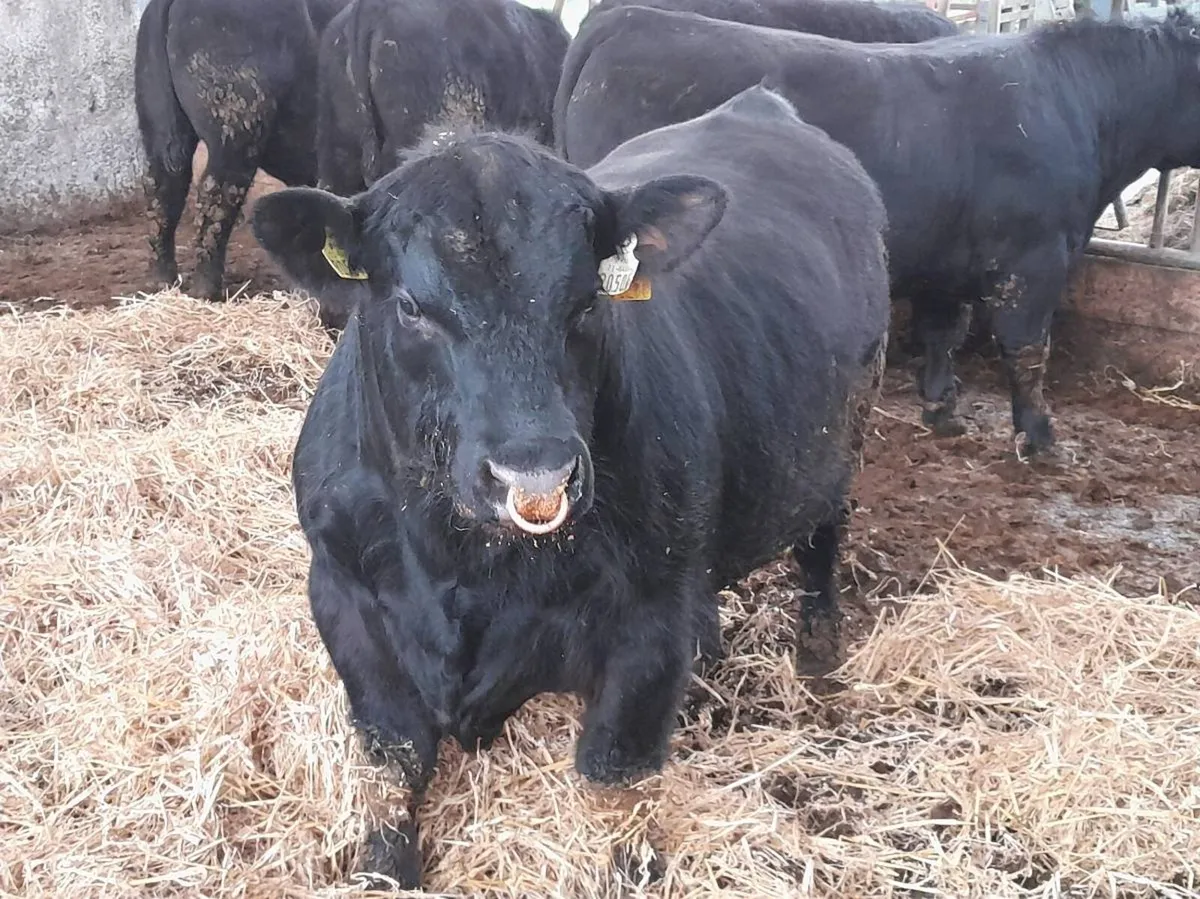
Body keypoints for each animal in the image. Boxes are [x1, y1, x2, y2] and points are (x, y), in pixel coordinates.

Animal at [134, 0, 351, 302]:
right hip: (236, 134)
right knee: (216, 195)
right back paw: (206, 290)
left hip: (156, 128)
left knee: (163, 191)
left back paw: (162, 284)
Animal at [249, 85, 890, 887]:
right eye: (410, 307)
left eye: (588, 302)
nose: (536, 472)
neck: (461, 563)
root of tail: (762, 105)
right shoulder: (344, 597)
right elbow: (392, 761)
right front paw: (384, 870)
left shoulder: (646, 627)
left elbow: (615, 777)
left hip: (842, 434)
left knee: (822, 539)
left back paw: (820, 644)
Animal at [556, 7, 1200, 457]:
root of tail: (626, 18)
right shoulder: (1033, 259)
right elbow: (1027, 351)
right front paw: (1038, 437)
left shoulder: (950, 258)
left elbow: (944, 331)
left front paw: (943, 408)